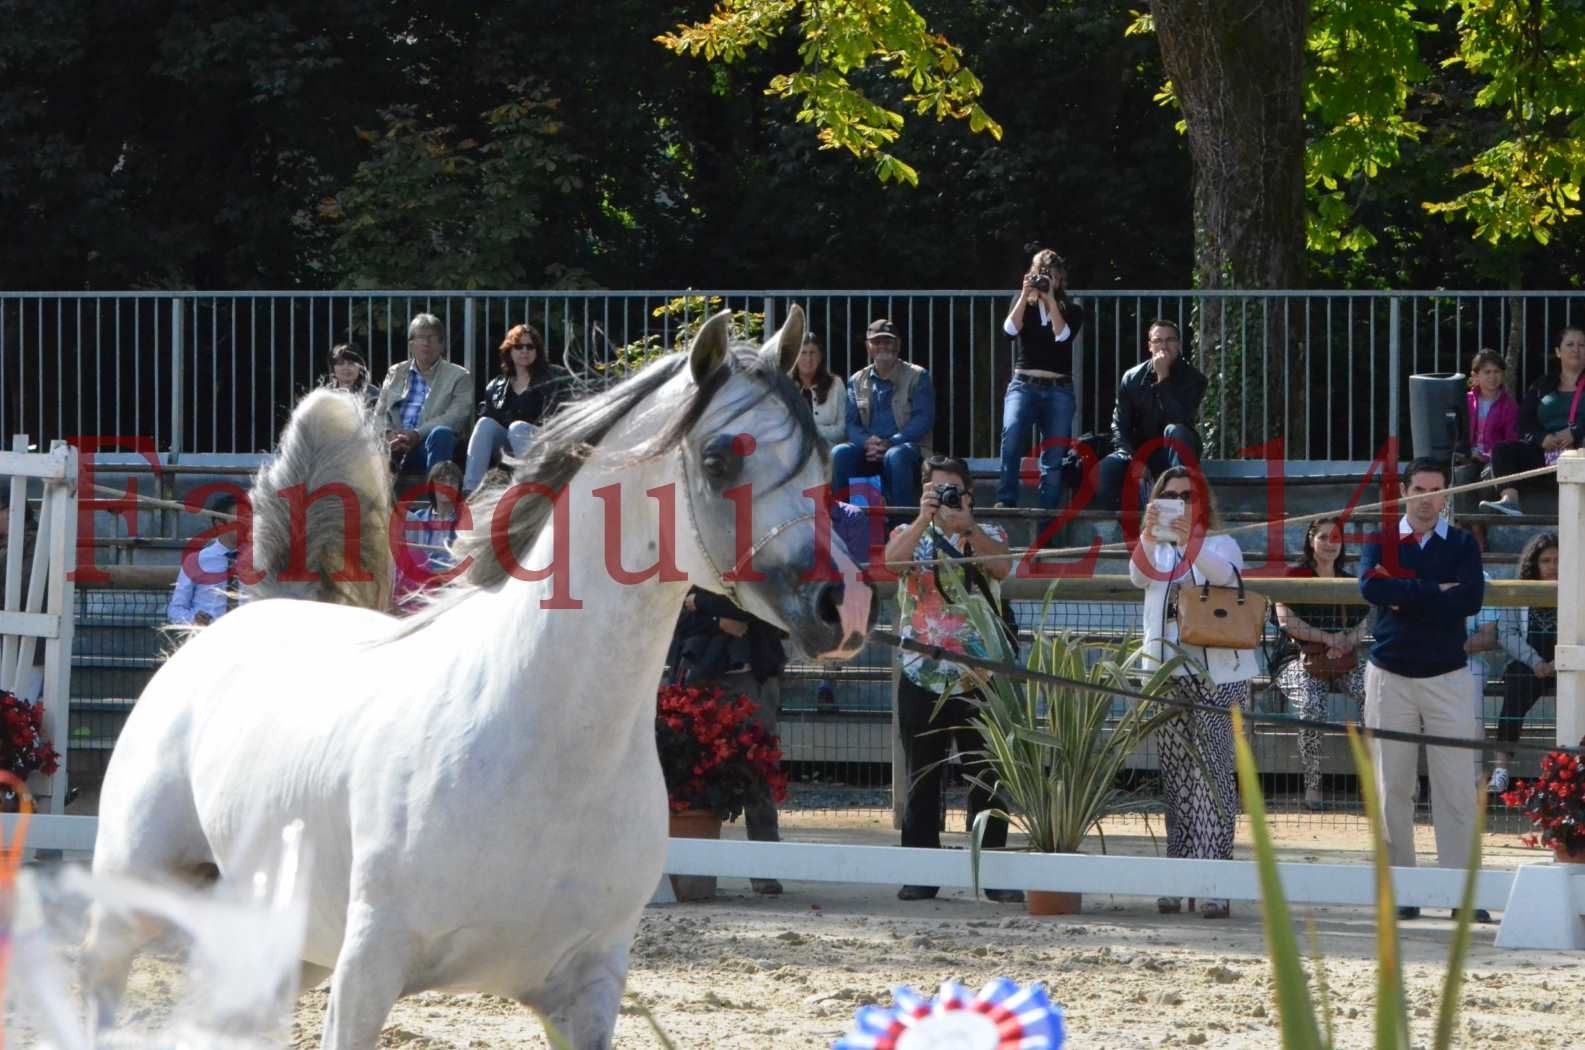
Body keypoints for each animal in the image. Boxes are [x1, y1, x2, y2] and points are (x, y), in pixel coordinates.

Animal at [80, 309, 874, 1046]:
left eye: (820, 459)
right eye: (717, 460)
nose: (845, 607)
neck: (540, 740)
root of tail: (252, 615)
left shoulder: (587, 987)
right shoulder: (365, 971)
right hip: (130, 908)